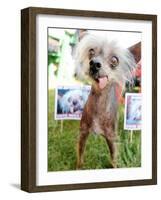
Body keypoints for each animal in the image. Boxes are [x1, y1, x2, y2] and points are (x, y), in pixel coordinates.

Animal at [74, 33, 136, 168]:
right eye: (91, 52)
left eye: (114, 60)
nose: (94, 64)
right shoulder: (83, 133)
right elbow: (80, 156)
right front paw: (78, 168)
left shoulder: (111, 138)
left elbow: (114, 160)